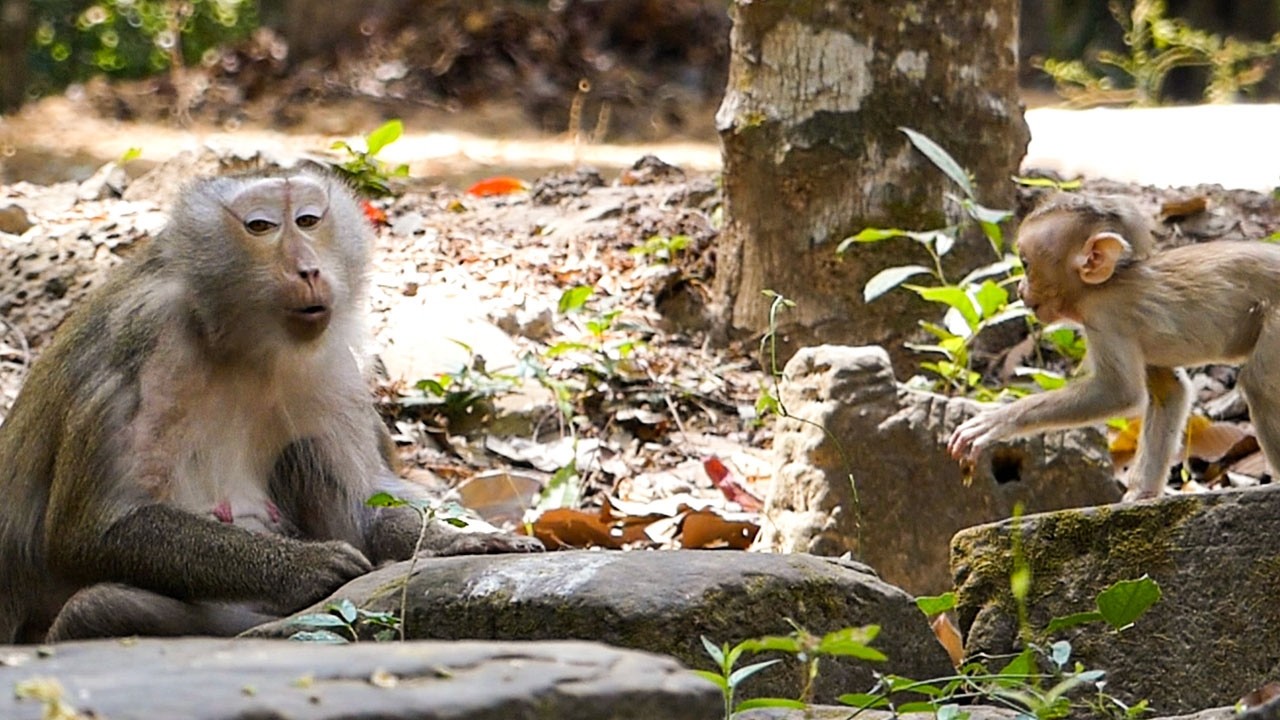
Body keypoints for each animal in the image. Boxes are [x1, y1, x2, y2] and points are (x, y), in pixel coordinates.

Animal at [0, 168, 543, 643]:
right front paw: (304, 567)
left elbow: (363, 506)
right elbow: (91, 530)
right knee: (101, 606)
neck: (235, 338)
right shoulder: (143, 337)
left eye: (308, 220)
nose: (308, 268)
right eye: (260, 226)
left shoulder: (325, 360)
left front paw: (457, 540)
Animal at [948, 192, 1280, 501]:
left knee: (1260, 384)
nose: (1019, 289)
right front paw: (1140, 494)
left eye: (1026, 264)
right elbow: (1169, 392)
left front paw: (997, 420)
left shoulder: (1104, 317)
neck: (1103, 285)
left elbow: (1119, 393)